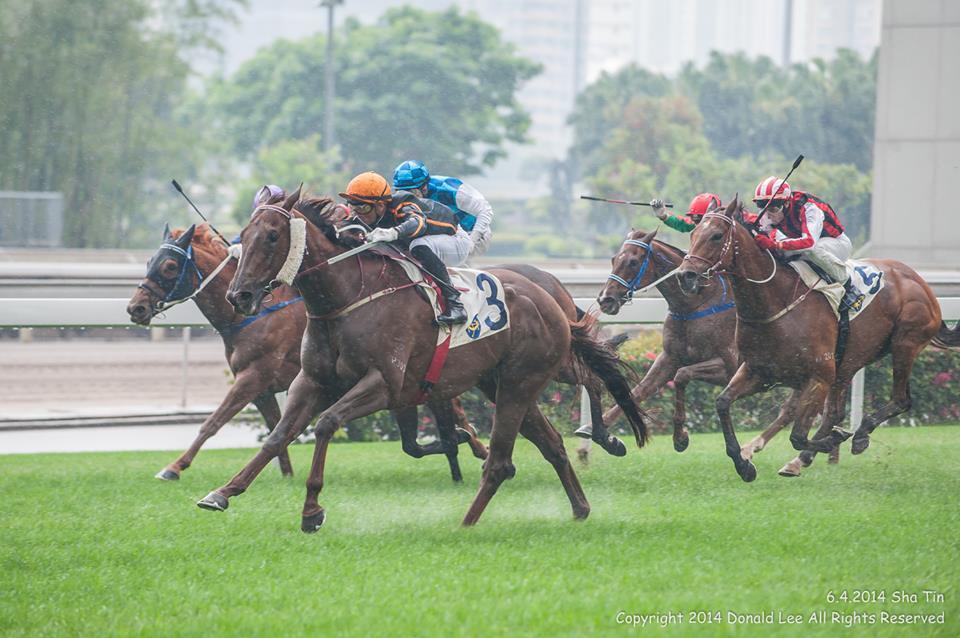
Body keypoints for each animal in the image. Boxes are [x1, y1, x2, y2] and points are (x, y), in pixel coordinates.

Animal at [197, 192, 644, 532]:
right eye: (244, 235)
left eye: (273, 236)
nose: (239, 296)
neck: (348, 296)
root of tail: (550, 299)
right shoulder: (312, 381)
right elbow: (277, 437)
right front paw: (221, 493)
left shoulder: (384, 384)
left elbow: (326, 424)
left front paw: (312, 511)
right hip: (501, 384)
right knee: (550, 446)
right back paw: (580, 508)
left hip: (522, 382)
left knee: (503, 460)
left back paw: (466, 523)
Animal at [592, 230, 832, 476]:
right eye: (614, 259)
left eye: (633, 261)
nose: (605, 299)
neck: (696, 304)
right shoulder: (669, 357)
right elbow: (640, 389)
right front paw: (603, 436)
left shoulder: (729, 366)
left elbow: (682, 375)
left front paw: (680, 438)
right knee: (799, 410)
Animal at [676, 198, 952, 482]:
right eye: (693, 234)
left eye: (717, 235)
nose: (685, 275)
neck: (776, 300)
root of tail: (920, 282)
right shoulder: (760, 372)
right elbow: (722, 403)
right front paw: (742, 464)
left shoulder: (818, 376)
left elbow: (798, 435)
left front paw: (832, 440)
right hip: (850, 361)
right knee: (839, 411)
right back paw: (805, 457)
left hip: (904, 344)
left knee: (900, 400)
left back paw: (858, 436)